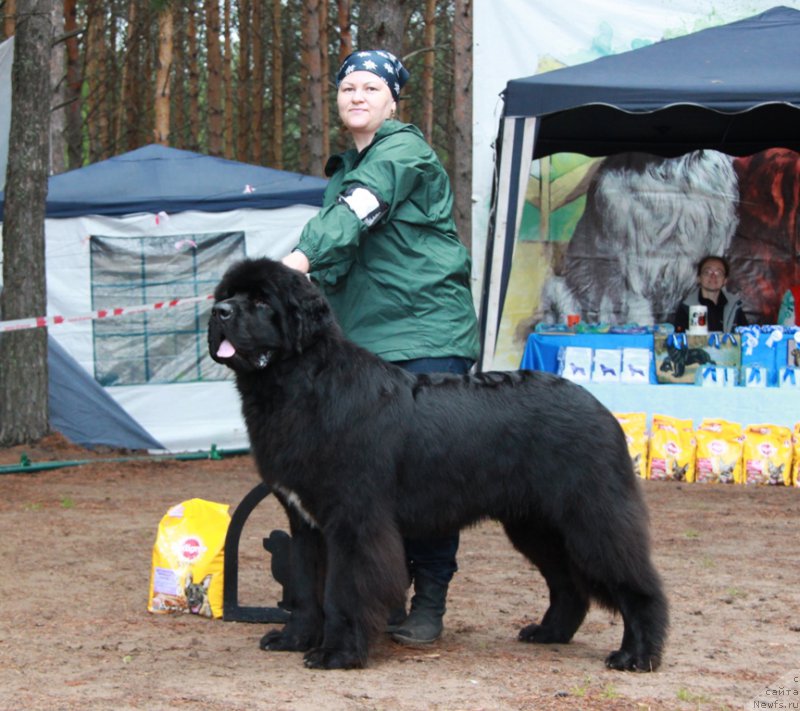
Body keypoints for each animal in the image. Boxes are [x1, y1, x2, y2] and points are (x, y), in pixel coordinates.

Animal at [208, 258, 668, 672]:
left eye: (262, 301)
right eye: (226, 294)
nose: (219, 312)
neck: (300, 384)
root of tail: (600, 407)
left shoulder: (353, 522)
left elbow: (343, 591)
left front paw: (335, 654)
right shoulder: (305, 522)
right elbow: (306, 588)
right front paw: (294, 639)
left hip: (591, 517)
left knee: (635, 582)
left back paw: (636, 655)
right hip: (536, 525)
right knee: (568, 585)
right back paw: (548, 632)